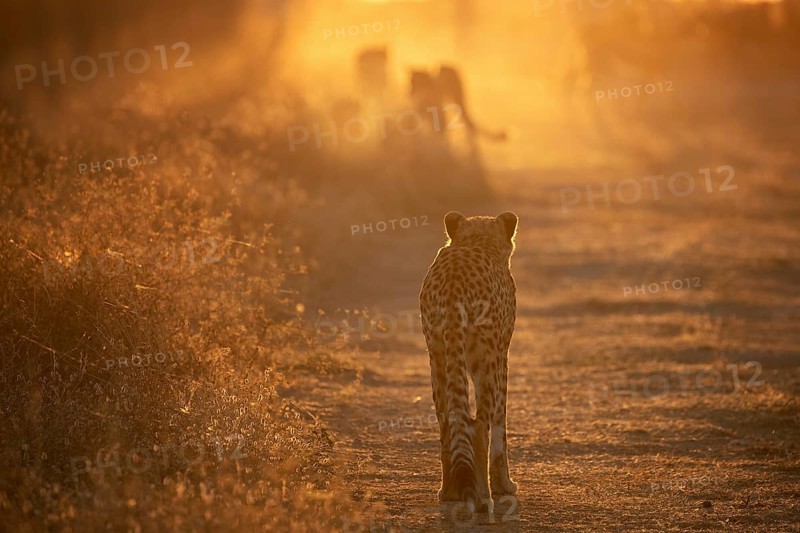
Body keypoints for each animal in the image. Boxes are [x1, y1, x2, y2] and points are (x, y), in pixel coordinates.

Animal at [419, 211, 519, 515]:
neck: (478, 241)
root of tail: (454, 281)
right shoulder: (501, 356)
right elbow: (500, 425)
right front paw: (504, 485)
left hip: (438, 355)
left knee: (447, 424)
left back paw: (449, 491)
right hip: (485, 359)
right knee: (477, 426)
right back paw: (484, 498)